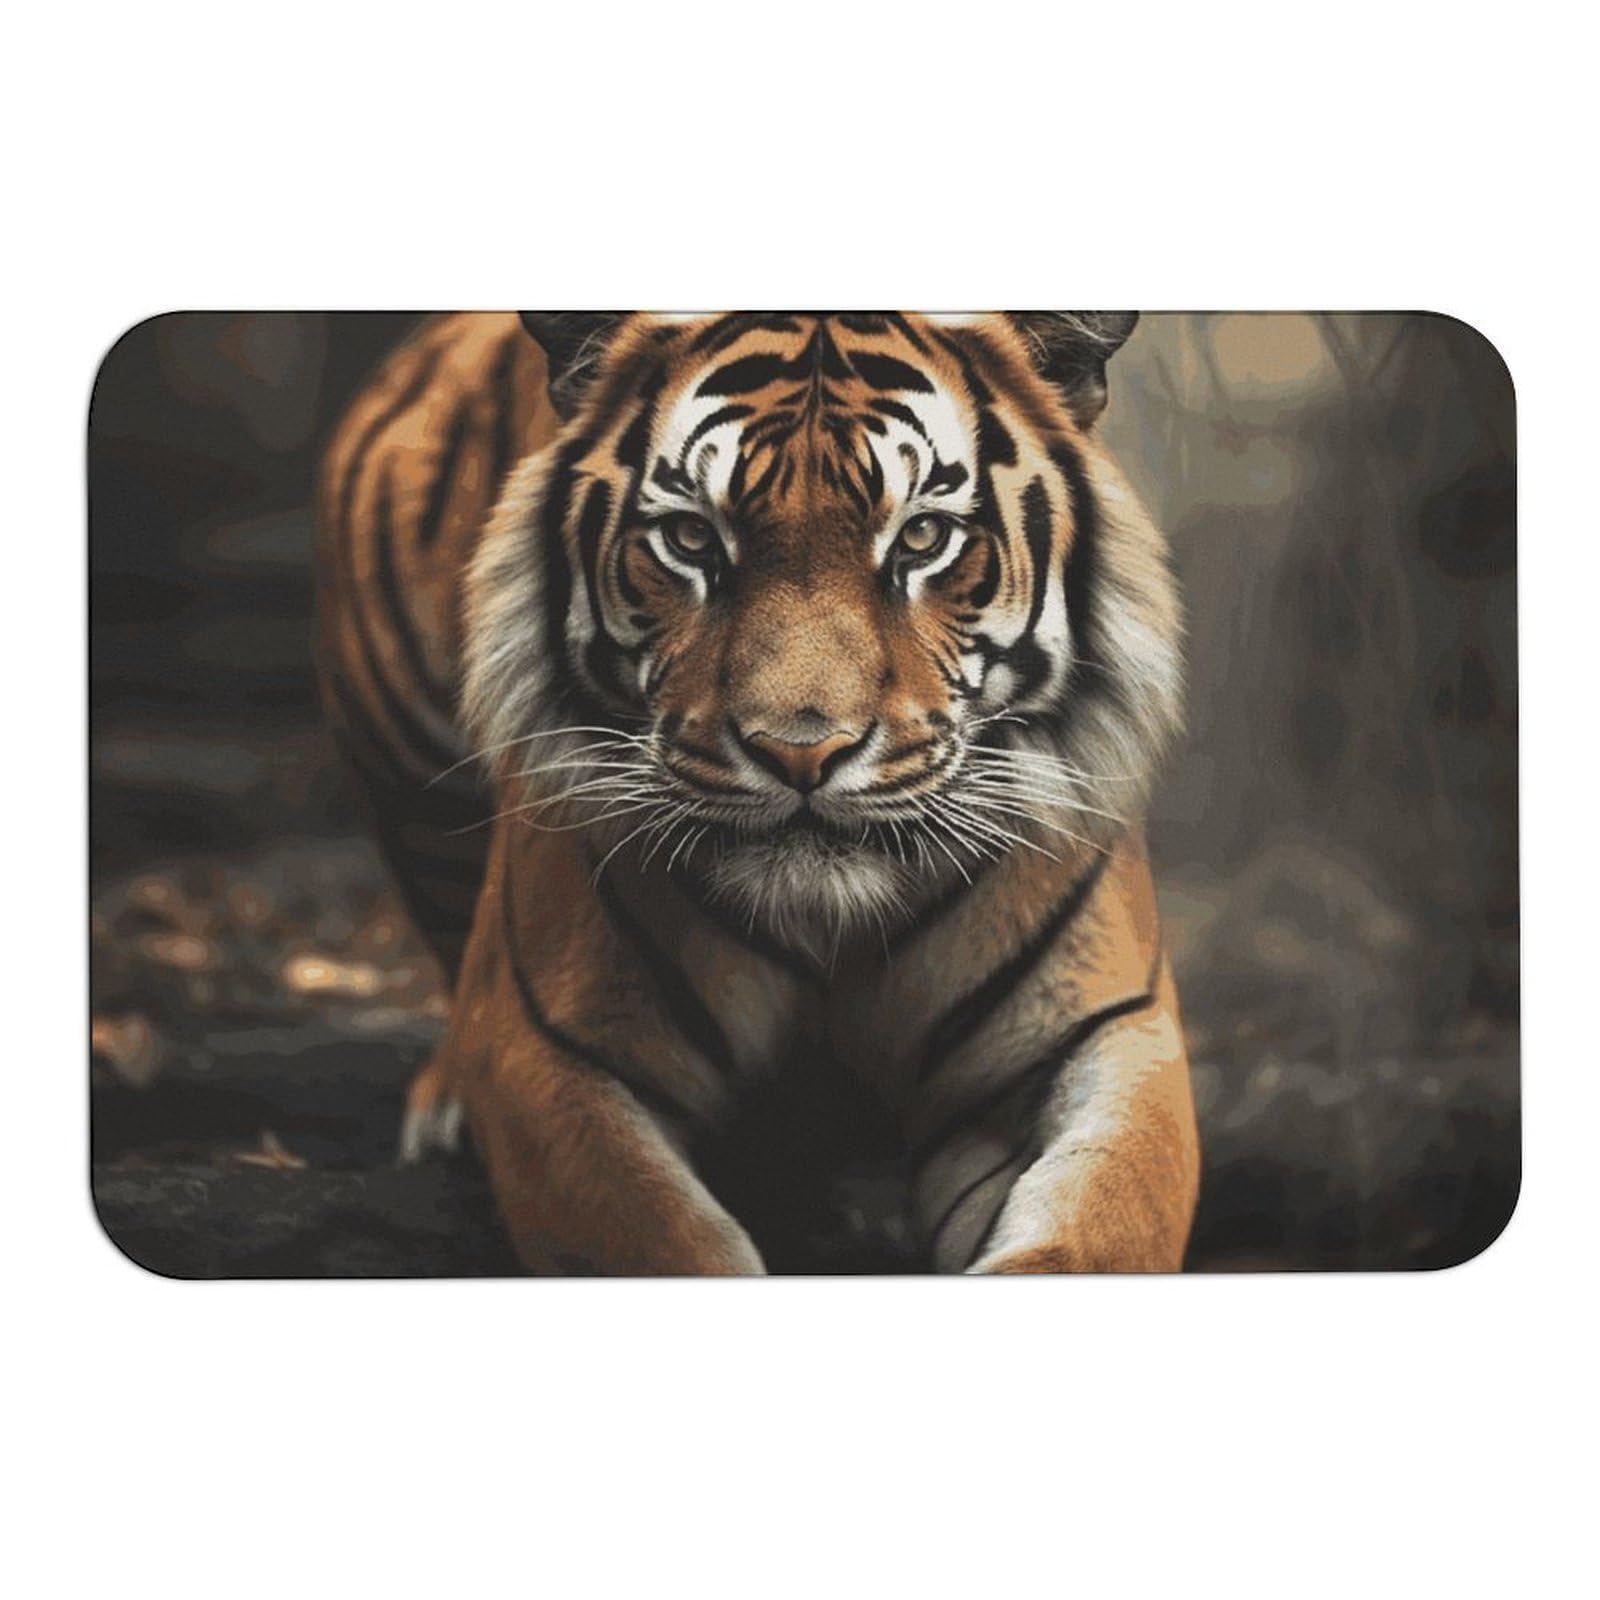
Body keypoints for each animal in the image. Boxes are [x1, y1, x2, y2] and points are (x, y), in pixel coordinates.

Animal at [315, 311, 1198, 1274]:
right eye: (692, 540)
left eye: (923, 539)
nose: (801, 754)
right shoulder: (550, 1051)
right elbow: (668, 1242)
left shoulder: (1107, 1040)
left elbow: (1090, 1233)